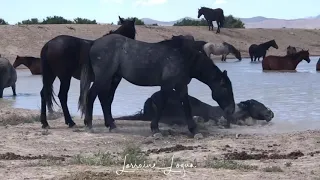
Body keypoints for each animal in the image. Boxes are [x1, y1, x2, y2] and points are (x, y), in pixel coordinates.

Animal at [78, 33, 236, 139]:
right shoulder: (167, 85)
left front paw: (194, 131)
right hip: (103, 78)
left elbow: (187, 106)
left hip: (113, 78)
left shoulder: (181, 86)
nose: (231, 110)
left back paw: (111, 125)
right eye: (225, 88)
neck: (183, 57)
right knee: (92, 96)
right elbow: (161, 104)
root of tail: (94, 43)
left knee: (105, 99)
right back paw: (89, 125)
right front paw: (155, 129)